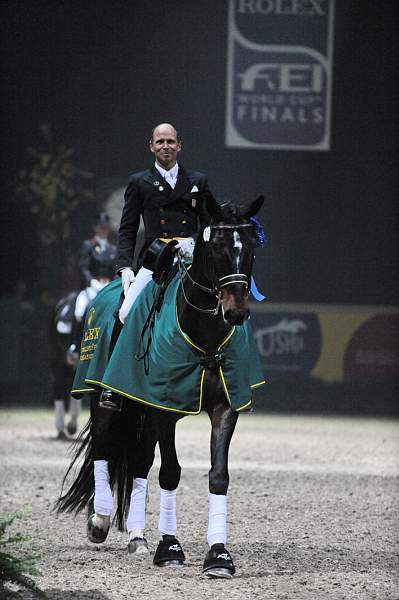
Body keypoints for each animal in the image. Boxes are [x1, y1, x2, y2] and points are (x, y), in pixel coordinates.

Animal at [54, 196, 264, 576]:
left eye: (252, 247)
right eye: (217, 247)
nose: (236, 312)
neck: (202, 336)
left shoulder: (224, 408)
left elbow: (218, 475)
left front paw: (219, 555)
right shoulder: (164, 410)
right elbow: (170, 472)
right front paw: (170, 548)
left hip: (142, 408)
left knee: (138, 462)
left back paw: (137, 537)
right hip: (102, 396)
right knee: (104, 447)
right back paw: (100, 521)